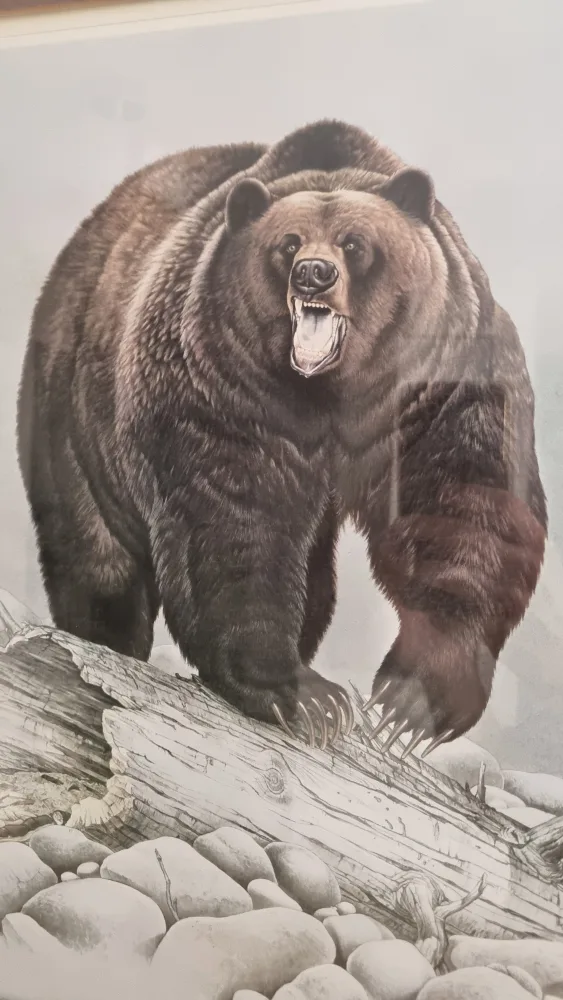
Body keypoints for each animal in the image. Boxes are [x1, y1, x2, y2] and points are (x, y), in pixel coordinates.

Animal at [17, 120, 547, 755]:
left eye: (354, 243)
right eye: (287, 244)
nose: (313, 273)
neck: (333, 391)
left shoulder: (439, 376)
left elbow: (463, 502)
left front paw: (410, 703)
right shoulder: (221, 384)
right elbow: (235, 519)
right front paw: (301, 694)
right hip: (74, 405)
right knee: (97, 551)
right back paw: (108, 636)